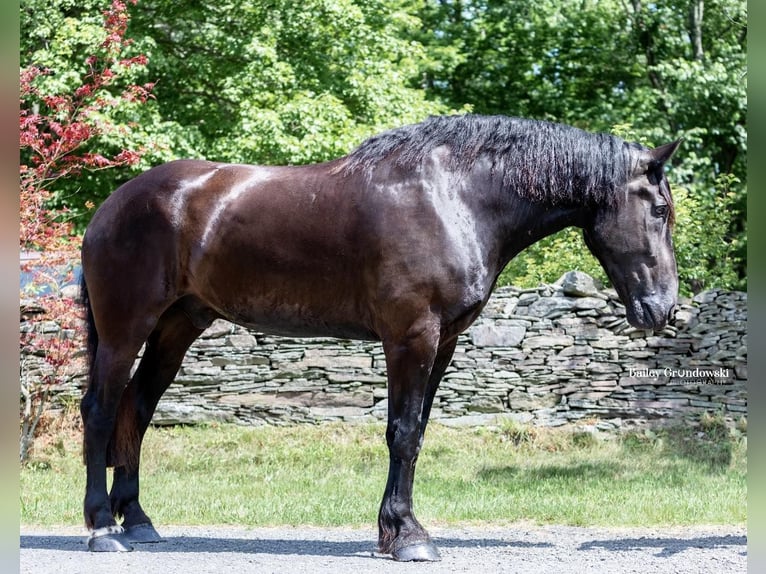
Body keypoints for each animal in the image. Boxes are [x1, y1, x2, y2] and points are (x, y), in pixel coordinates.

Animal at [78, 113, 680, 564]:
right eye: (659, 209)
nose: (662, 309)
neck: (455, 197)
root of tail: (113, 204)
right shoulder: (411, 338)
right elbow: (403, 432)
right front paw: (407, 536)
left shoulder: (443, 343)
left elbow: (417, 432)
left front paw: (396, 529)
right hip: (125, 329)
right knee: (102, 411)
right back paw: (103, 529)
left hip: (177, 326)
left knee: (137, 410)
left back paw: (138, 521)